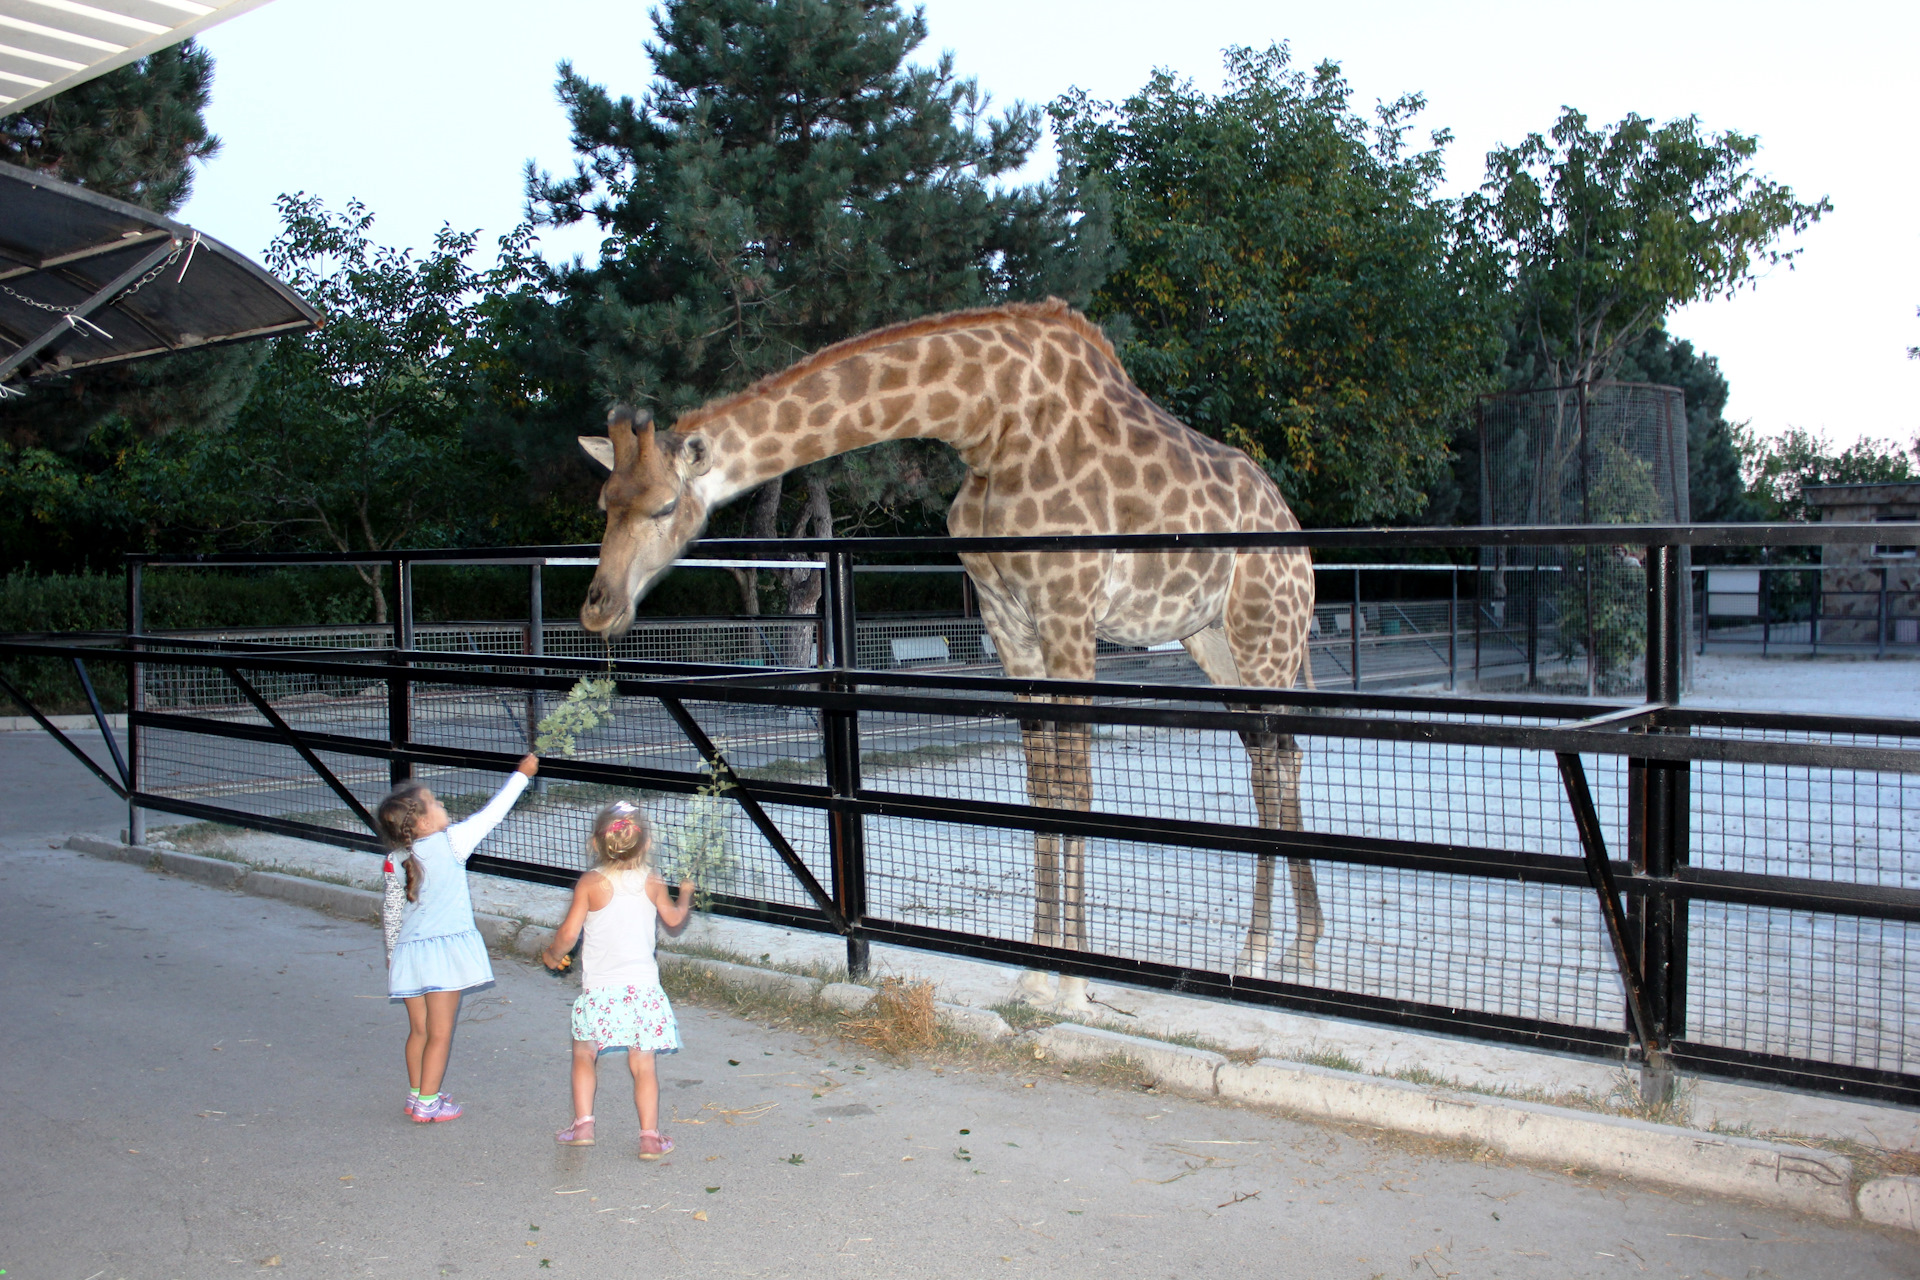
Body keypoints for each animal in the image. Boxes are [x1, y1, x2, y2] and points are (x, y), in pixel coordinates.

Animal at [568, 301, 1320, 1013]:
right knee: (1272, 759)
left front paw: (1076, 983)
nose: (597, 606)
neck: (990, 424)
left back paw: (1274, 953)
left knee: (1279, 759)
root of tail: (1299, 539)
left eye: (664, 506)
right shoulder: (1009, 620)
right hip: (1212, 638)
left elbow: (1075, 787)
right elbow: (1041, 788)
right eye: (605, 501)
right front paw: (1037, 973)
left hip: (1265, 633)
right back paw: (1285, 949)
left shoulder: (1070, 610)